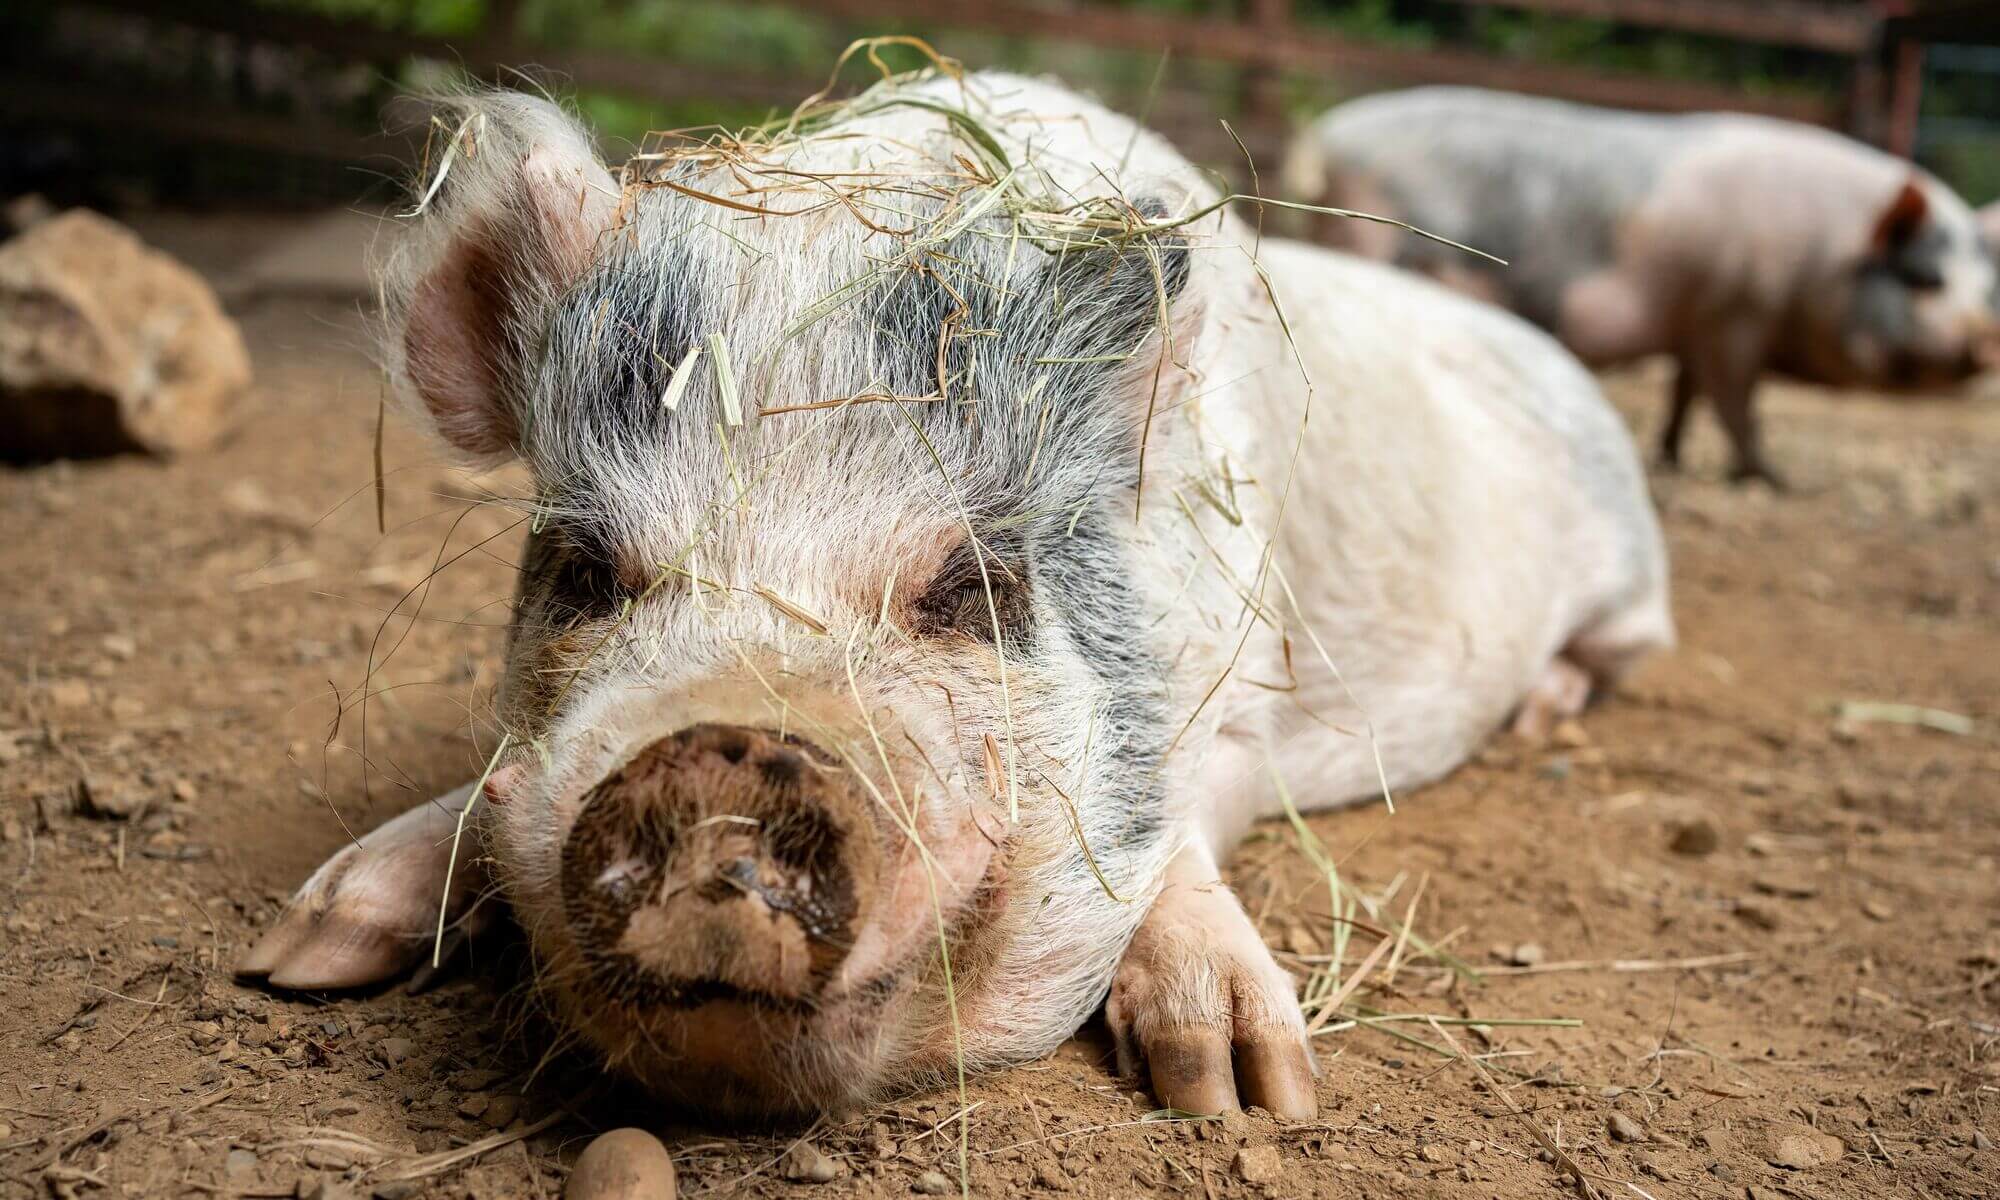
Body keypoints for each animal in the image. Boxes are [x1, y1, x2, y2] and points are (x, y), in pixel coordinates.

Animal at [238, 72, 1672, 1121]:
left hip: (1629, 577)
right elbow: (486, 793)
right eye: (584, 570)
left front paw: (1243, 1095)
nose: (717, 758)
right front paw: (301, 950)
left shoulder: (1241, 695)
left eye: (977, 585)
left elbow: (1181, 846)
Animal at [1284, 86, 2000, 487]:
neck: (1823, 257)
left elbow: (1686, 393)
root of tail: (1323, 136)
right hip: (1369, 243)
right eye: (1924, 279)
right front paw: (1774, 479)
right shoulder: (1735, 313)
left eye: (1988, 289)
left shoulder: (1698, 323)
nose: (1985, 343)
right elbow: (1738, 404)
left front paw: (1673, 459)